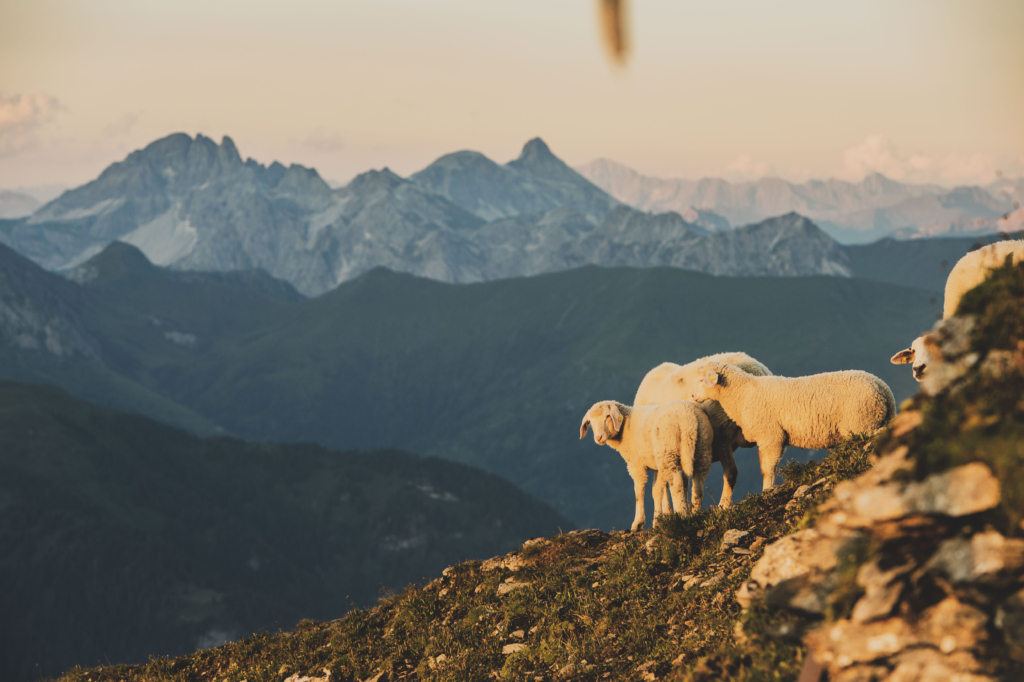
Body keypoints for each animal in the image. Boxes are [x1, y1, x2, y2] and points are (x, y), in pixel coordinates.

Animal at [581, 399, 716, 532]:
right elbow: (657, 491)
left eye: (608, 416)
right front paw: (657, 521)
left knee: (677, 484)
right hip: (701, 447)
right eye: (590, 422)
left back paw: (681, 516)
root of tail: (688, 418)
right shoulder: (657, 465)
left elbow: (639, 492)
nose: (598, 438)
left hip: (668, 451)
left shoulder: (635, 463)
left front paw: (638, 523)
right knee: (698, 484)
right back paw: (696, 514)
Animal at [688, 360, 897, 489]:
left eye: (701, 380)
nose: (692, 396)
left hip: (862, 423)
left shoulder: (771, 437)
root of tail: (883, 388)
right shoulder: (774, 438)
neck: (742, 393)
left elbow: (767, 469)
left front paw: (766, 491)